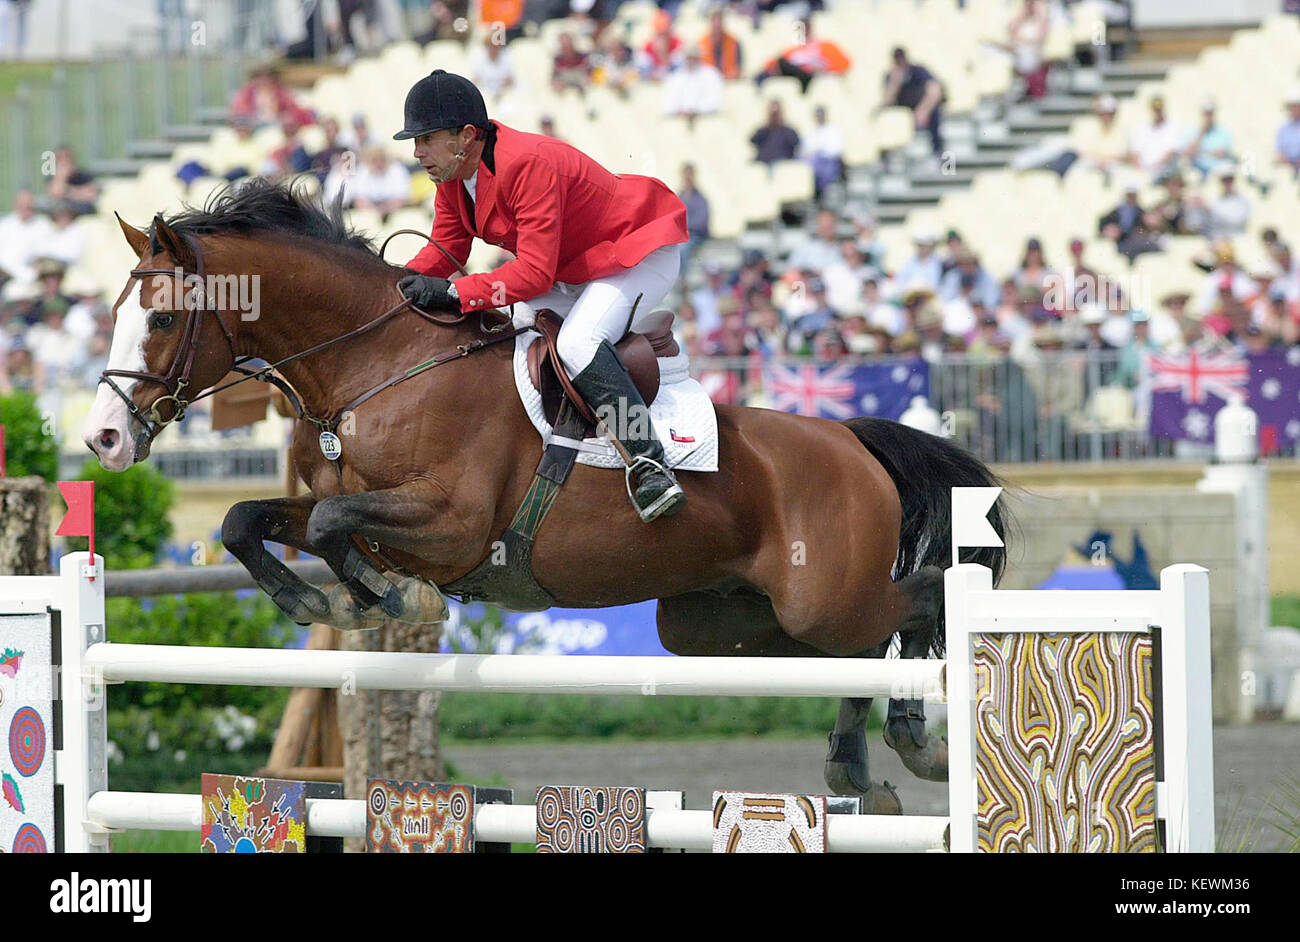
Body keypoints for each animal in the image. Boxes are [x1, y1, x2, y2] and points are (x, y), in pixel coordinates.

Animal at [86, 181, 1008, 810]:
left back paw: (915, 740)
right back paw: (858, 765)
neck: (377, 367)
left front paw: (392, 598)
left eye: (160, 321)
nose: (103, 438)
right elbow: (258, 521)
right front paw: (323, 601)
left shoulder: (452, 525)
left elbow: (336, 525)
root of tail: (852, 439)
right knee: (857, 646)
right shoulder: (358, 512)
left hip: (822, 596)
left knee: (921, 601)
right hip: (725, 623)